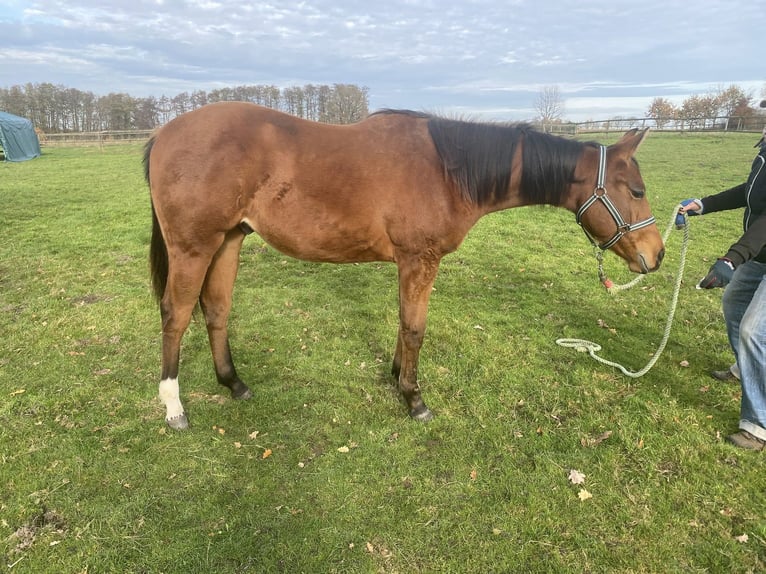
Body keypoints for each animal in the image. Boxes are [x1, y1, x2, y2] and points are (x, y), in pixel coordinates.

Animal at [144, 102, 665, 430]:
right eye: (637, 190)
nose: (657, 254)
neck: (447, 171)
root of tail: (164, 133)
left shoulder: (410, 263)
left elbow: (402, 322)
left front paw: (396, 377)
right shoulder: (419, 259)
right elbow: (415, 328)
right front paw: (414, 399)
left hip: (228, 241)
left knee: (216, 310)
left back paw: (233, 383)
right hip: (194, 247)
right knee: (176, 315)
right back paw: (174, 408)